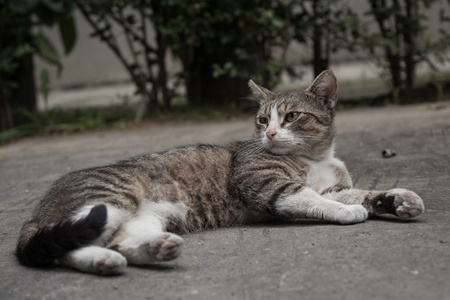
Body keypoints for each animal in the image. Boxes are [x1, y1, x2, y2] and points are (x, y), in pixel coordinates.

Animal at [15, 70, 424, 274]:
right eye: (262, 120)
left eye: (291, 116)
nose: (270, 133)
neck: (314, 158)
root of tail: (36, 213)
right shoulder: (264, 182)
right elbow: (311, 196)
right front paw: (350, 212)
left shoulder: (332, 187)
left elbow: (359, 192)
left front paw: (397, 199)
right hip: (111, 201)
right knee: (62, 249)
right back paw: (102, 260)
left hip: (143, 217)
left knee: (115, 241)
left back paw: (149, 250)